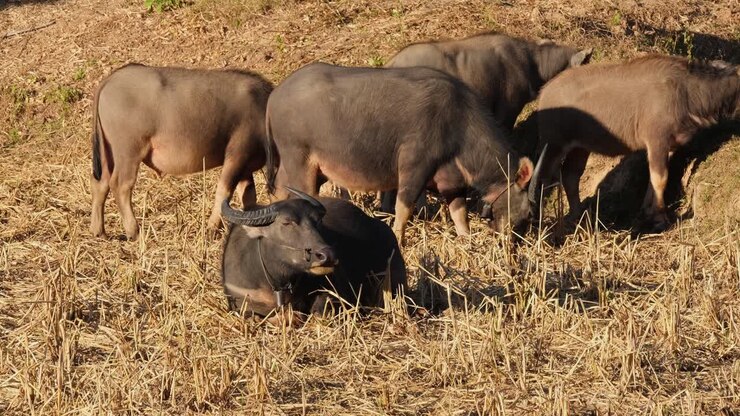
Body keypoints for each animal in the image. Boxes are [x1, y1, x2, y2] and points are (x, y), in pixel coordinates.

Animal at [90, 63, 273, 240]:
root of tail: (111, 79)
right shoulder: (237, 156)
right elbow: (224, 192)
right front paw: (211, 230)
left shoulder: (245, 168)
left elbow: (249, 198)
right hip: (128, 153)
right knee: (121, 185)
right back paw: (133, 231)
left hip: (108, 153)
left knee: (101, 183)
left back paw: (99, 231)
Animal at [531, 55, 740, 231]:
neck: (687, 91)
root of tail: (545, 93)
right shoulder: (657, 141)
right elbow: (660, 178)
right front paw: (660, 218)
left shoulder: (667, 146)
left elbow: (653, 180)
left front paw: (647, 210)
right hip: (553, 146)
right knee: (543, 177)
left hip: (580, 148)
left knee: (570, 175)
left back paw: (578, 215)